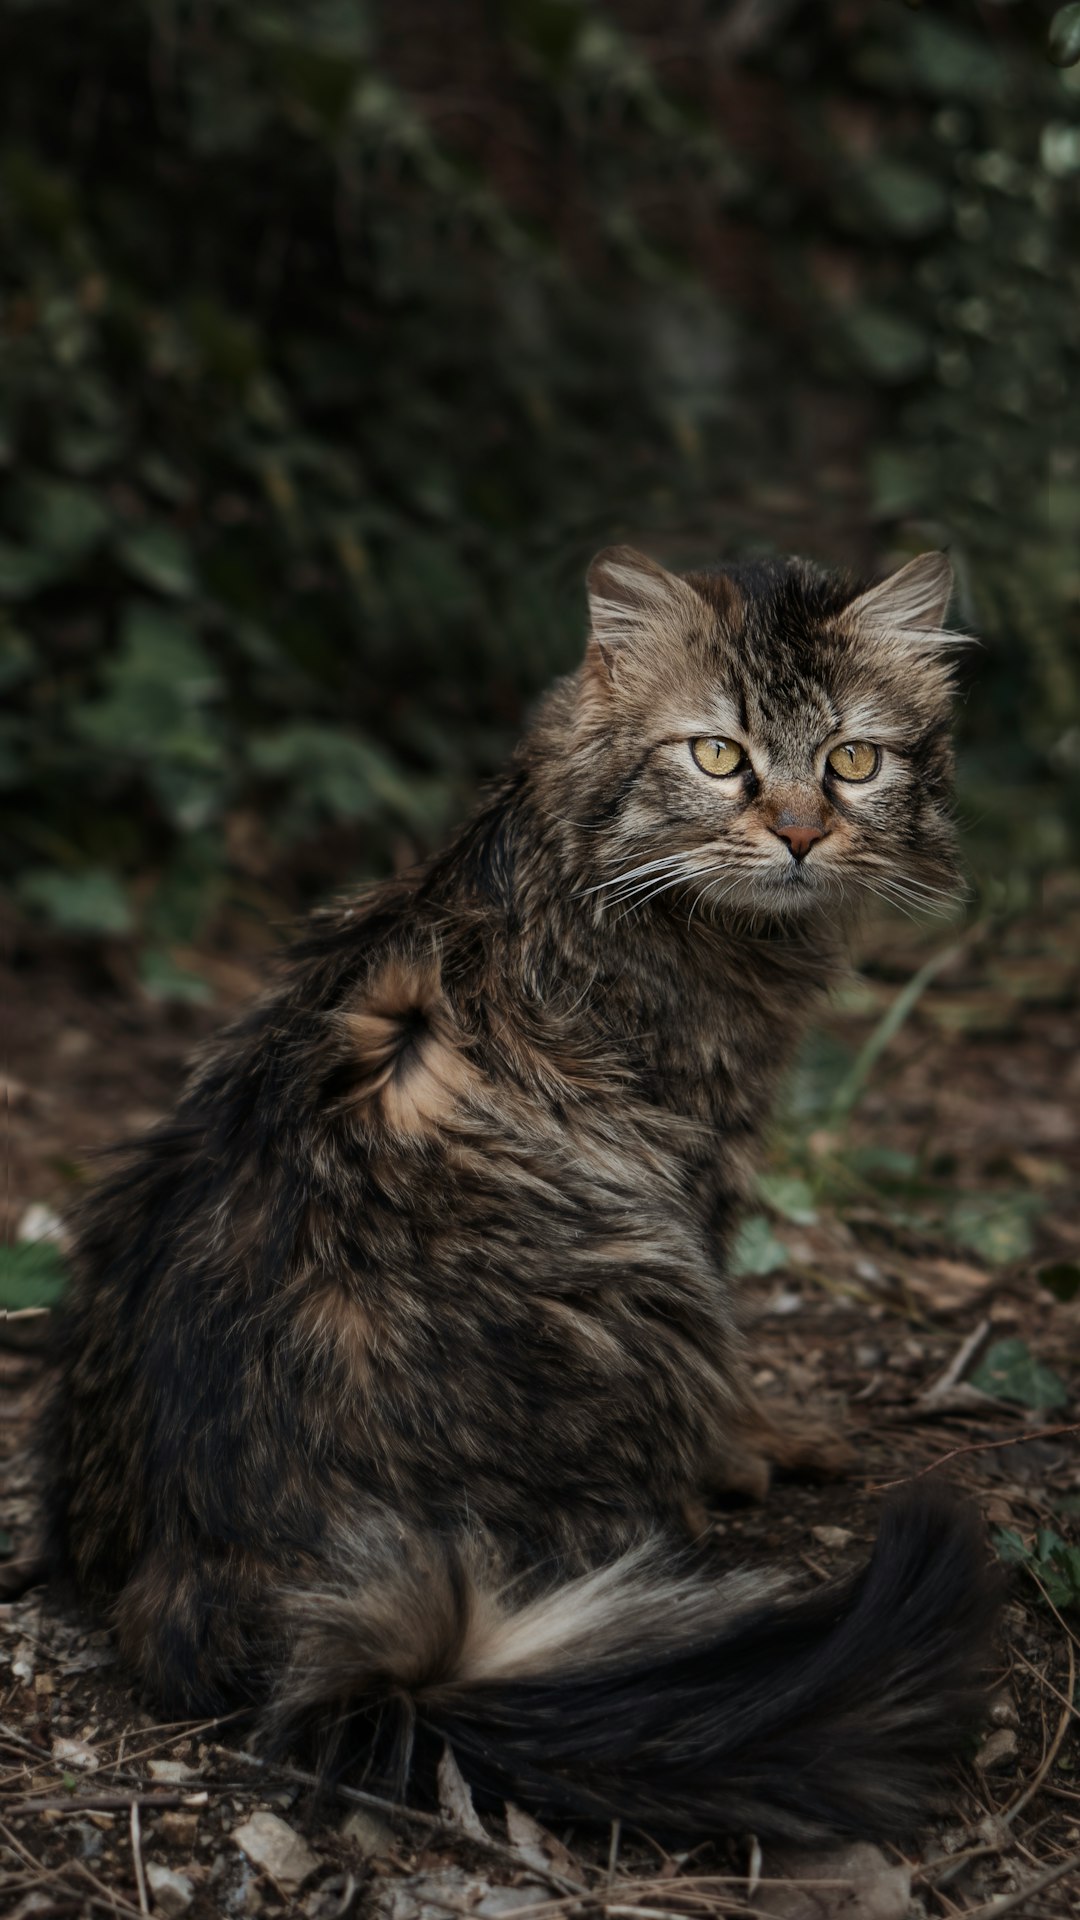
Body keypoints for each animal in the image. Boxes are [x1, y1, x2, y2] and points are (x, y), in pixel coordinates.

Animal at [48, 541, 991, 1843]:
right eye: (719, 756)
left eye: (854, 760)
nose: (801, 833)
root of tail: (200, 1573)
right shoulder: (694, 1158)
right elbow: (731, 1357)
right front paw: (750, 1444)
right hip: (636, 1271)